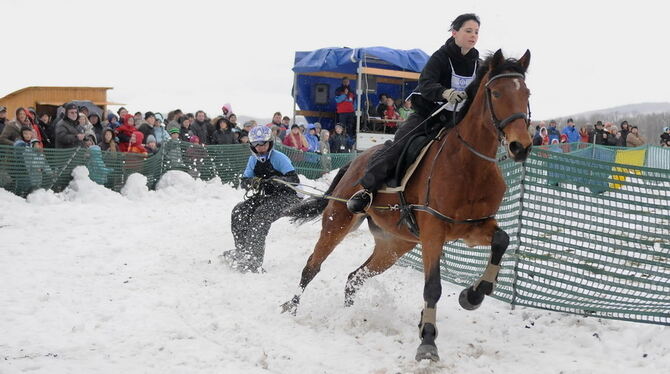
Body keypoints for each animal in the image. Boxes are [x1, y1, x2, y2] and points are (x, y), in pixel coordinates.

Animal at [280, 49, 532, 362]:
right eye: (496, 93)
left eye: (526, 93)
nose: (521, 146)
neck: (469, 165)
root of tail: (356, 160)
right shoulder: (434, 231)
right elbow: (432, 288)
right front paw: (428, 342)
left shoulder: (474, 227)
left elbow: (502, 239)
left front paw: (473, 294)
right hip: (337, 222)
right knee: (312, 267)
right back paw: (291, 306)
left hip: (394, 246)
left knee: (354, 277)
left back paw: (350, 315)